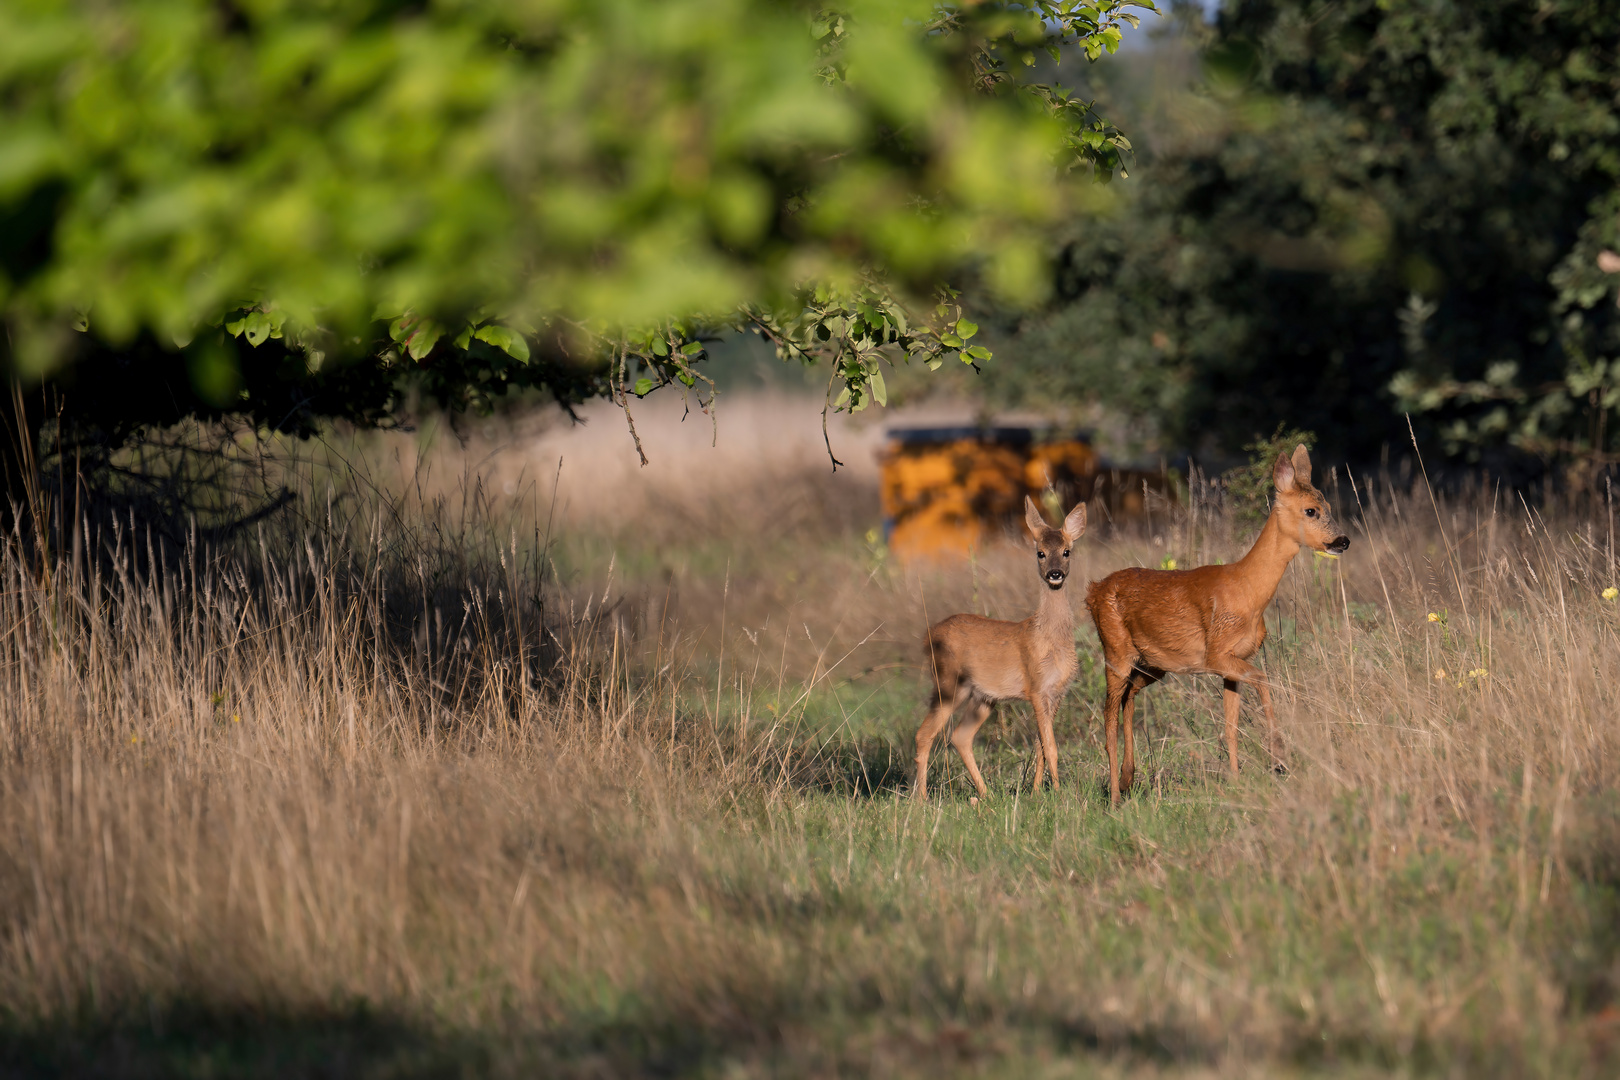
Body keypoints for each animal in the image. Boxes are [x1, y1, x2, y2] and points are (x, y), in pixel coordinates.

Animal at [913, 498, 1088, 803]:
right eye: (1040, 553)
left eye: (1067, 551)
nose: (1055, 574)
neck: (1050, 640)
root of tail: (928, 636)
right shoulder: (1036, 687)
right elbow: (1051, 747)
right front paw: (1058, 794)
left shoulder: (1056, 693)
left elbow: (1042, 747)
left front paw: (1036, 792)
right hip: (947, 683)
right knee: (925, 734)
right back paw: (922, 799)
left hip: (981, 696)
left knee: (960, 736)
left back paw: (986, 794)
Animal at [1088, 443, 1354, 806]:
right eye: (1311, 510)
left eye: (1327, 506)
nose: (1342, 541)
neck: (1247, 591)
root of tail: (1093, 592)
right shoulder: (1216, 654)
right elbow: (1264, 679)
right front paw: (1279, 758)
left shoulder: (1234, 662)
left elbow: (1231, 727)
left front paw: (1238, 781)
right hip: (1115, 651)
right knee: (1108, 719)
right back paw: (1115, 796)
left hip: (1152, 665)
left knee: (1129, 700)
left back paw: (1129, 779)